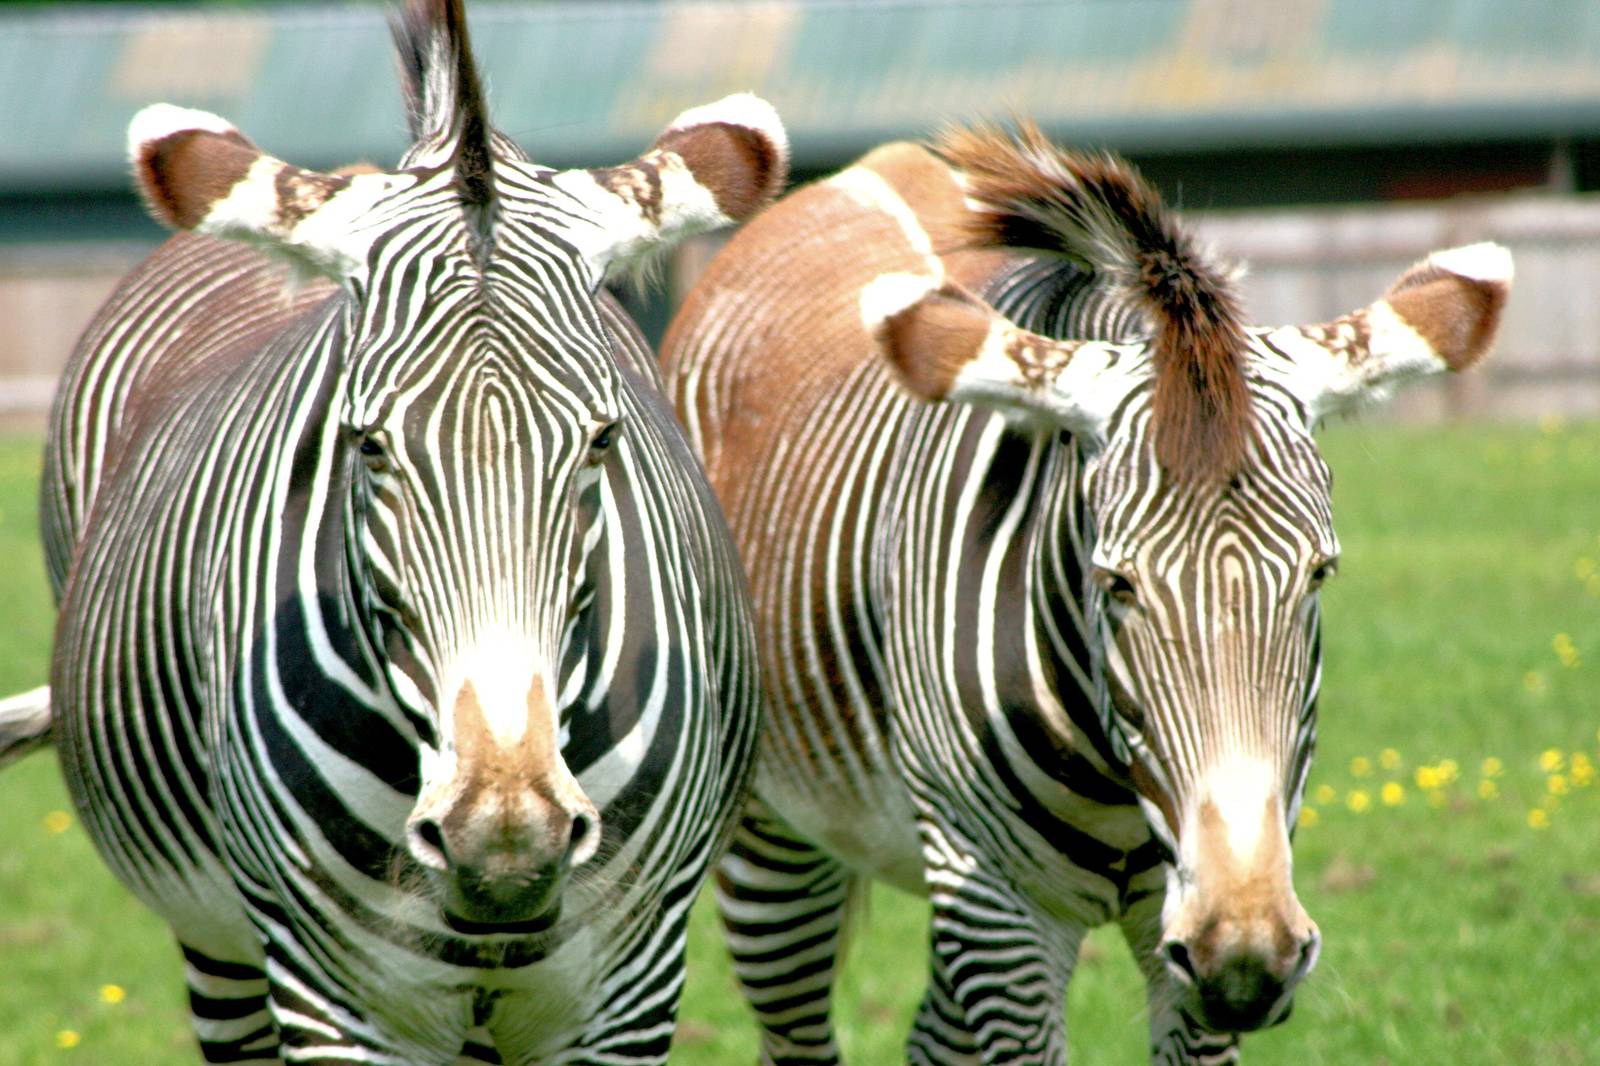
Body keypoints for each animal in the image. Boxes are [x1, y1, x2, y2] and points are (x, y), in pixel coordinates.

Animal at [37, 0, 784, 1061]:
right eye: (368, 443)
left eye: (603, 439)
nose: (506, 837)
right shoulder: (328, 997)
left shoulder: (632, 991)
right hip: (219, 944)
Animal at [659, 121, 1510, 1065]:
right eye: (1117, 582)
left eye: (1318, 574)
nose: (1246, 958)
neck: (1116, 780)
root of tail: (875, 167)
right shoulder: (999, 912)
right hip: (774, 842)